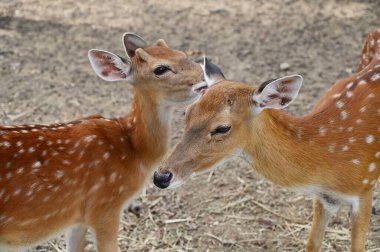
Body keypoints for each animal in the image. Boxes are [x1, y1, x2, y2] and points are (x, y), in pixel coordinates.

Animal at [0, 33, 205, 252]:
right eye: (160, 69)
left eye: (181, 54)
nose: (203, 80)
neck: (133, 149)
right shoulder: (105, 208)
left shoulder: (77, 219)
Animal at [154, 26, 380, 251]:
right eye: (186, 113)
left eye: (222, 128)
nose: (160, 177)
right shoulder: (325, 198)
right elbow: (312, 243)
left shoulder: (364, 188)